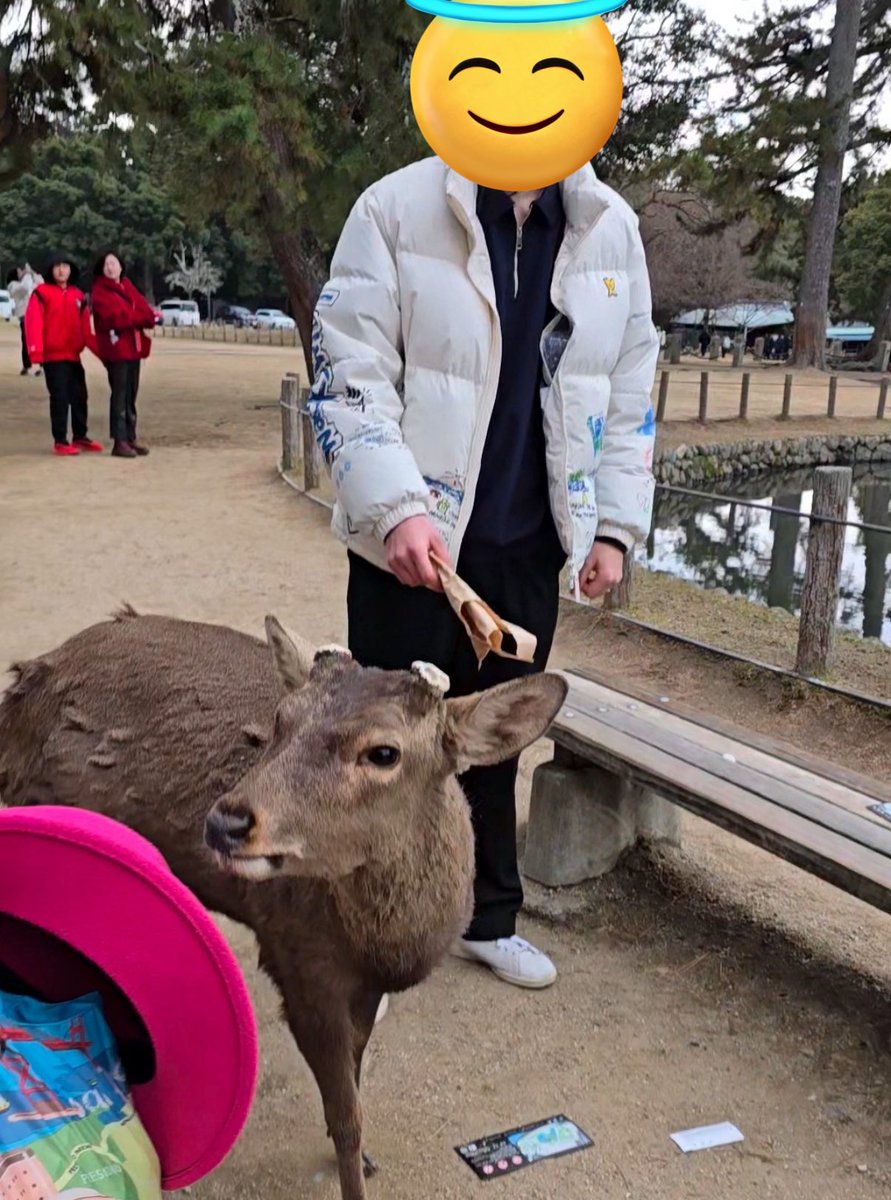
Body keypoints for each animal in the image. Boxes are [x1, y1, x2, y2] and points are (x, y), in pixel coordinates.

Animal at [0, 607, 567, 1200]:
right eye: (280, 719)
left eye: (384, 752)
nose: (225, 821)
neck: (390, 945)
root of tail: (24, 685)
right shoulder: (299, 961)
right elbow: (346, 1112)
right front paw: (352, 1174)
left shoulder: (363, 985)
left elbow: (356, 1079)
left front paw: (362, 1160)